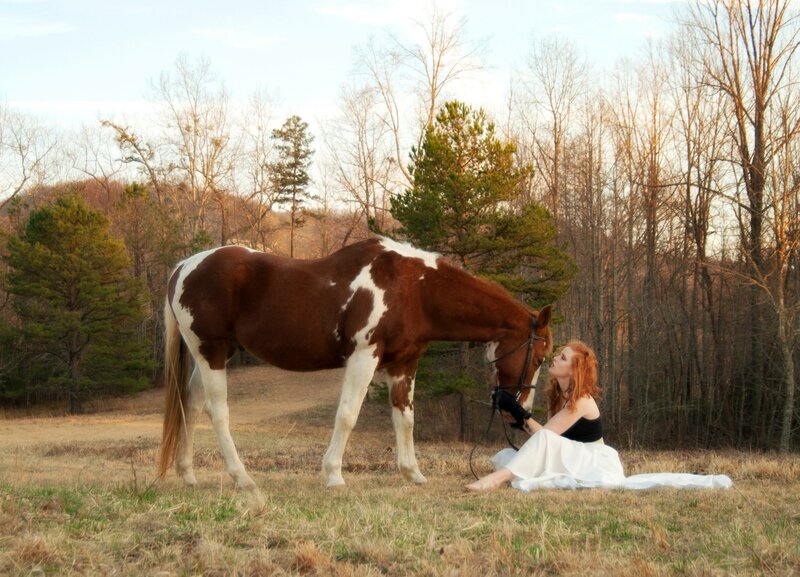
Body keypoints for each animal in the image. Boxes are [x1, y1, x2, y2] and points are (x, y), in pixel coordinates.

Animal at [158, 236, 553, 502]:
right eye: (539, 356)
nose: (520, 411)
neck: (415, 289)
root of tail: (183, 268)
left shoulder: (404, 363)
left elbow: (405, 418)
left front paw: (413, 473)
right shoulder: (364, 356)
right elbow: (348, 415)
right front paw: (333, 475)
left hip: (211, 354)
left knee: (190, 404)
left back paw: (188, 474)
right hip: (210, 351)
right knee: (217, 411)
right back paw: (242, 478)